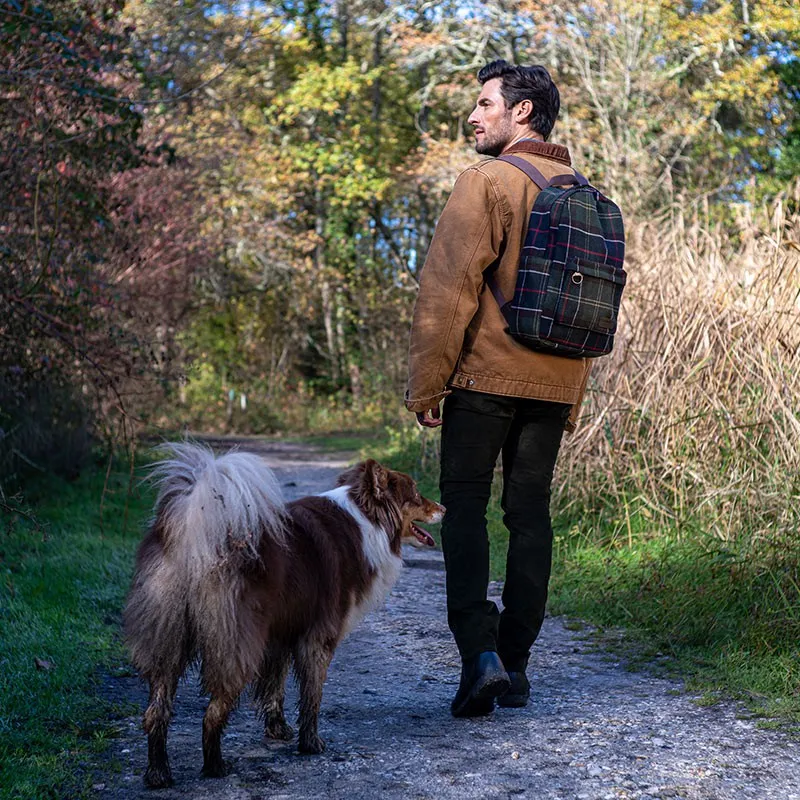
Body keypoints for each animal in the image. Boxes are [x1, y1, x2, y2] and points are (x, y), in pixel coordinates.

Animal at [123, 444, 444, 788]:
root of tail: (193, 527)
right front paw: (311, 744)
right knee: (212, 712)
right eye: (416, 493)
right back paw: (215, 766)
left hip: (168, 638)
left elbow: (275, 686)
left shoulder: (279, 634)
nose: (444, 508)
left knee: (156, 711)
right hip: (237, 645)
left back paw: (158, 773)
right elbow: (312, 696)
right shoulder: (319, 637)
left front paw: (277, 730)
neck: (364, 518)